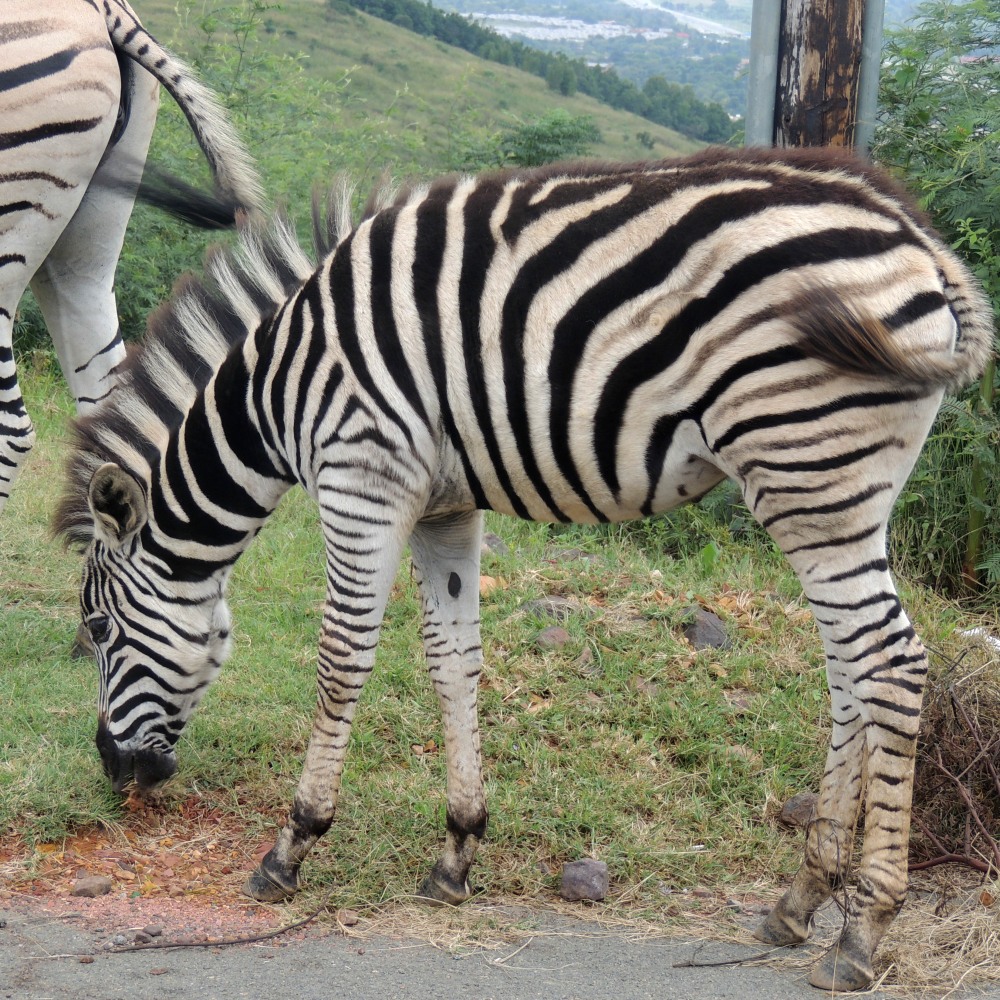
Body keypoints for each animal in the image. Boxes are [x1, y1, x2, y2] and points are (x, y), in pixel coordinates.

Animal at [54, 147, 993, 992]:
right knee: (850, 673)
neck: (276, 391)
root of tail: (916, 236)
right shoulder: (443, 505)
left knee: (889, 665)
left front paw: (292, 846)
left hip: (806, 468)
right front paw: (457, 853)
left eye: (97, 629)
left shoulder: (363, 478)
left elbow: (341, 662)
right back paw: (799, 901)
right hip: (844, 490)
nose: (111, 769)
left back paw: (862, 933)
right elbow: (453, 663)